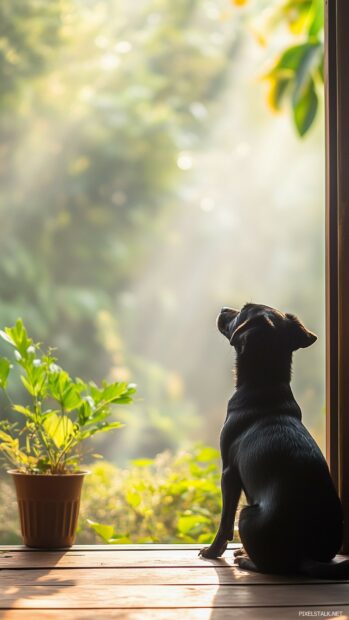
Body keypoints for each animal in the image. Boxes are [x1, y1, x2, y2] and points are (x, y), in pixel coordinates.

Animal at [198, 304, 348, 576]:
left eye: (243, 311)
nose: (223, 308)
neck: (265, 383)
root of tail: (305, 556)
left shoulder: (229, 472)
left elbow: (224, 522)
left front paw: (213, 551)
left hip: (246, 515)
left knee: (270, 566)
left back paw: (245, 558)